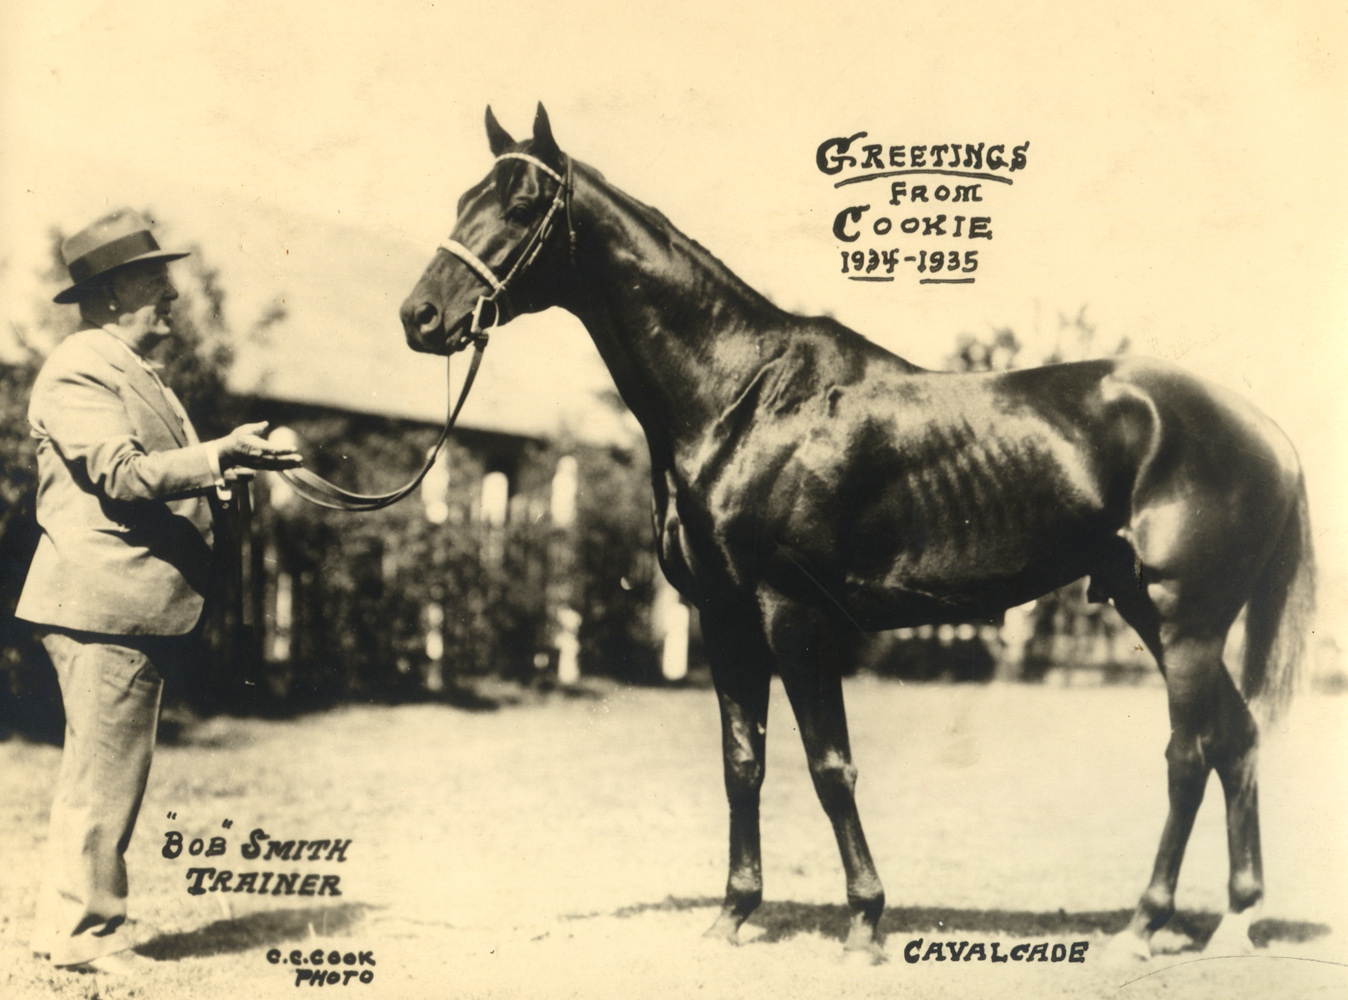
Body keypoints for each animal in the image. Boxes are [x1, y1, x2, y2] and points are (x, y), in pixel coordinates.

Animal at [396, 103, 1315, 964]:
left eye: (520, 205)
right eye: (463, 199)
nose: (421, 316)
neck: (744, 400)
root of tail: (1267, 432)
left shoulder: (794, 615)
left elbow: (828, 766)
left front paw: (866, 922)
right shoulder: (723, 618)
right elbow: (743, 763)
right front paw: (734, 914)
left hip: (1186, 619)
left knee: (1190, 754)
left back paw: (1143, 924)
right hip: (1149, 610)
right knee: (1236, 739)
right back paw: (1236, 919)